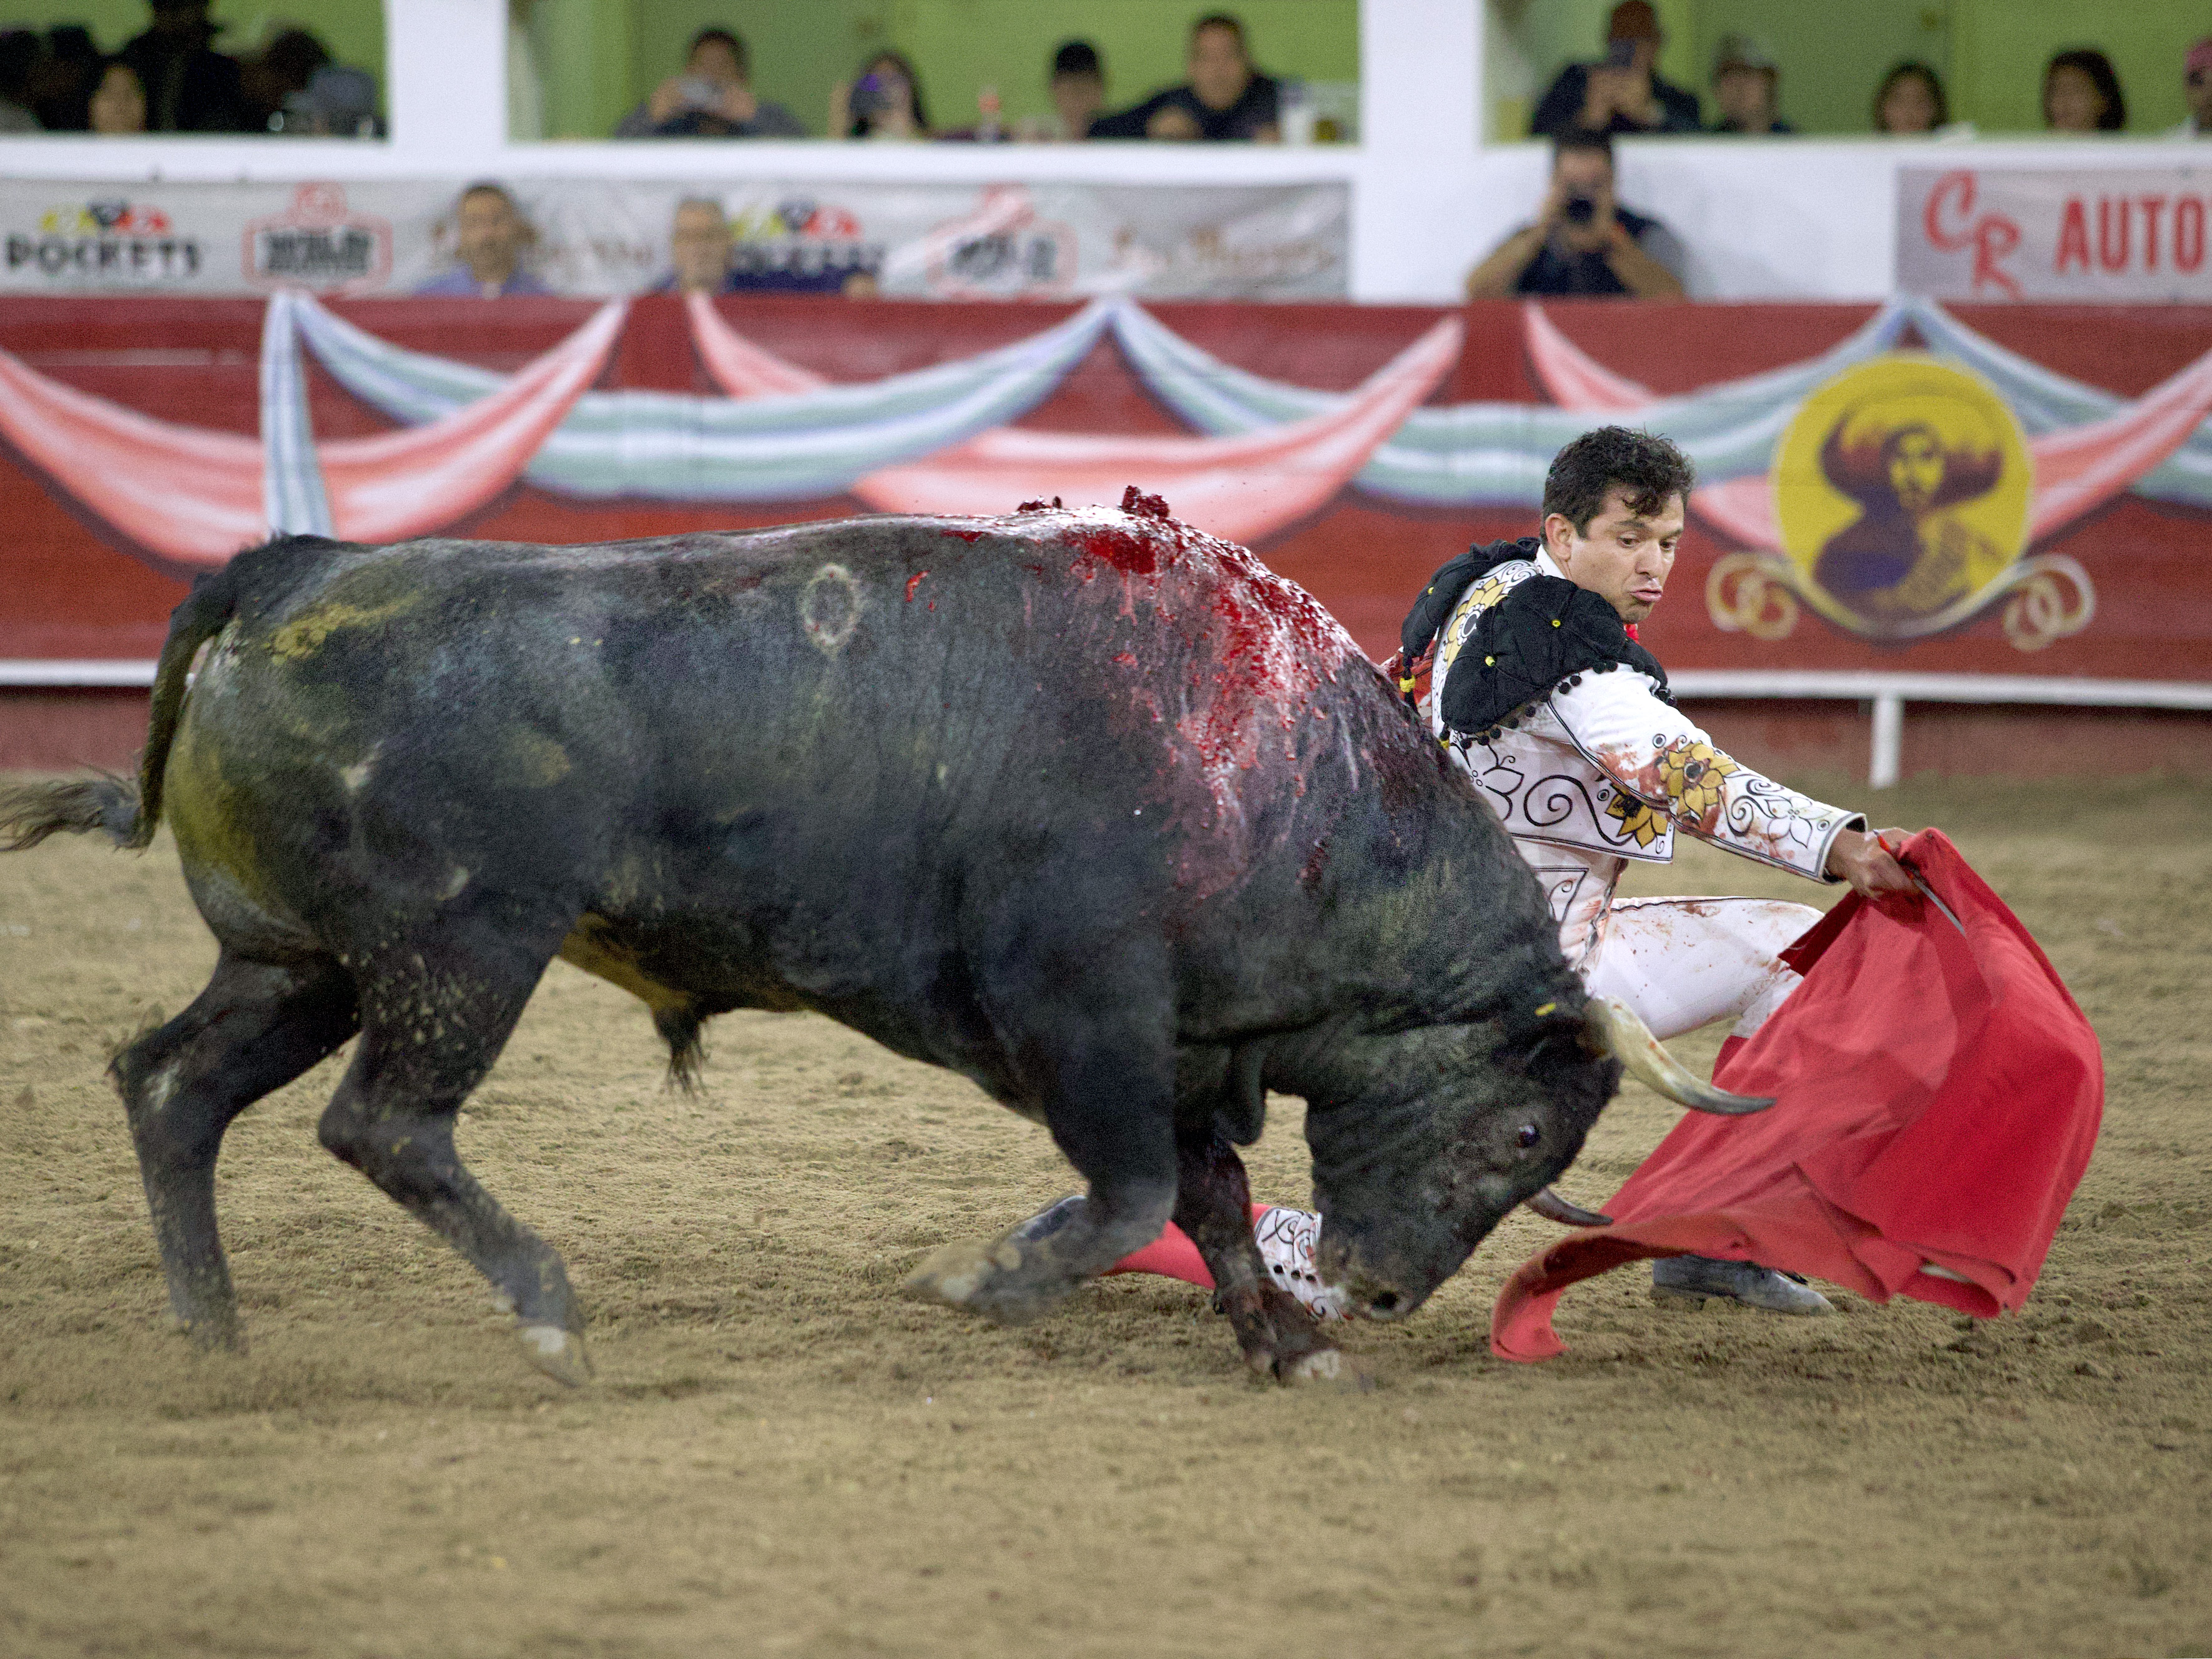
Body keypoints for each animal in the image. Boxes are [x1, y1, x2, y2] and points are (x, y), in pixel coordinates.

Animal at [0, 498, 1761, 1389]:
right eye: (1522, 1130)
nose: (1385, 1292)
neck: (1276, 784)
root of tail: (292, 570)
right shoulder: (1083, 1015)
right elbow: (1138, 1191)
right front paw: (982, 1279)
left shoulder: (1185, 1044)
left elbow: (1205, 1194)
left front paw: (1279, 1342)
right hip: (462, 950)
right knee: (382, 1120)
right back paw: (549, 1310)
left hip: (300, 962)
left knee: (173, 1086)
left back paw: (215, 1335)